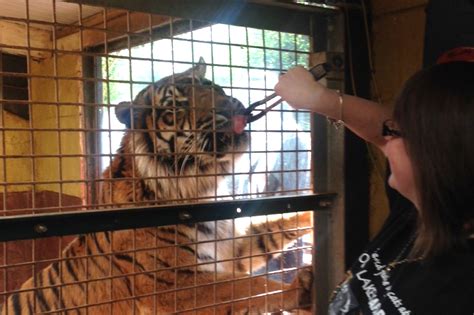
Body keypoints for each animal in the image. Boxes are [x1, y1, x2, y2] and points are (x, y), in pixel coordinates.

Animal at [3, 58, 314, 314]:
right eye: (176, 107)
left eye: (210, 86)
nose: (228, 106)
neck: (201, 188)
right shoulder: (174, 284)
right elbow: (248, 287)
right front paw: (299, 289)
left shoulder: (231, 246)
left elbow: (274, 227)